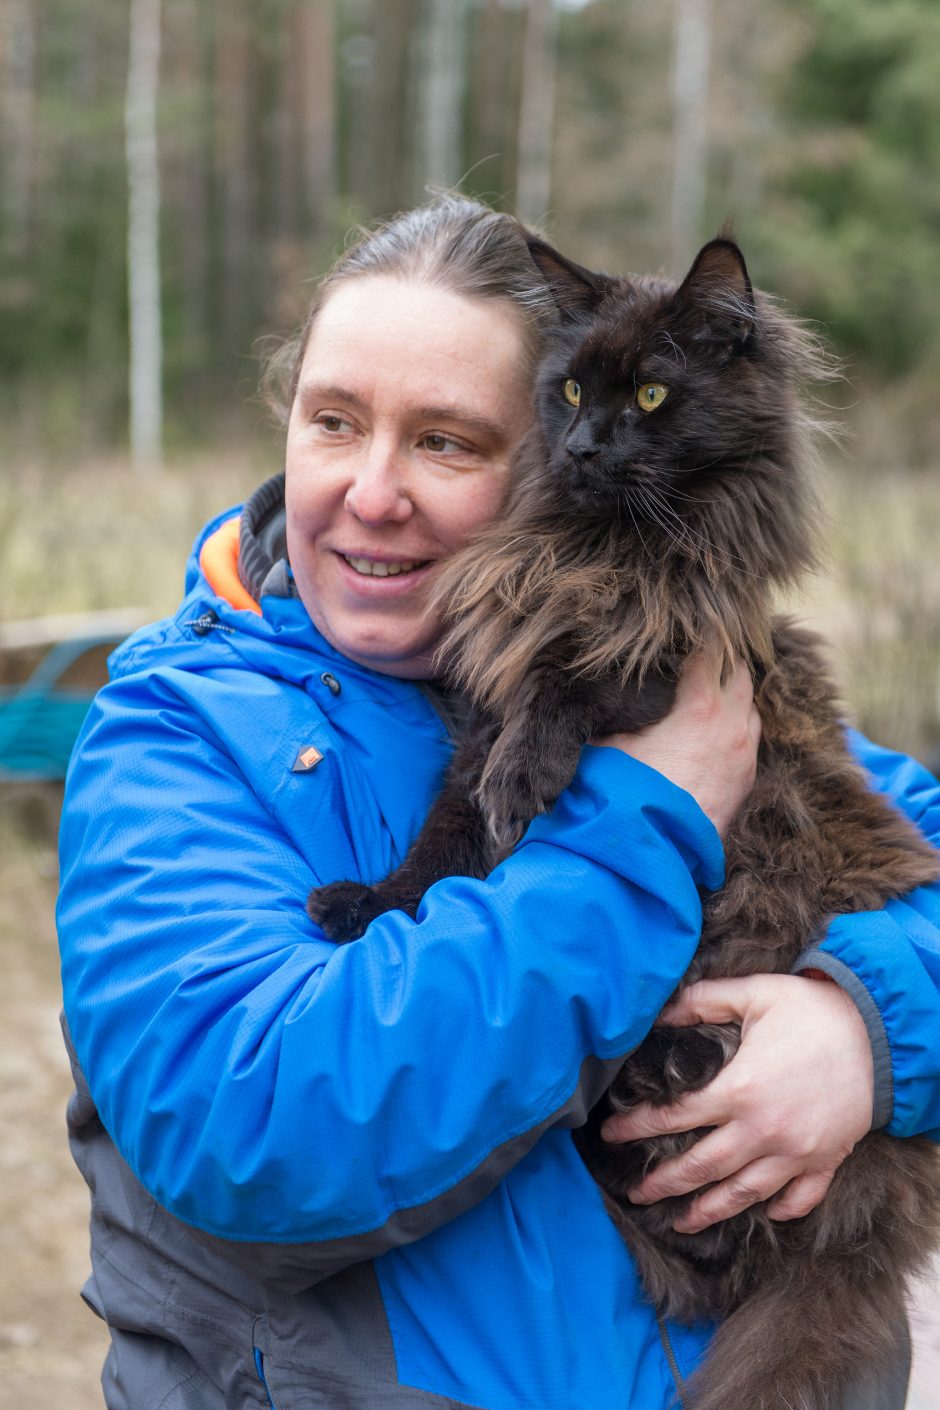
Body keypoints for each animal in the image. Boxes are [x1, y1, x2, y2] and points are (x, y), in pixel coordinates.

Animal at [305, 236, 935, 1404]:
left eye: (649, 395)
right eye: (566, 392)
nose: (588, 445)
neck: (592, 549)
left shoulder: (660, 661)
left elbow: (567, 689)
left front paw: (530, 772)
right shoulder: (475, 722)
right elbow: (439, 854)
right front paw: (368, 907)